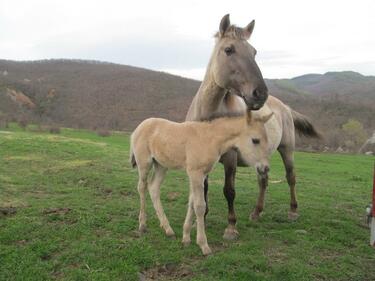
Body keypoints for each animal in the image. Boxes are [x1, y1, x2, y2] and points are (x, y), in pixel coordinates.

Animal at [185, 14, 320, 240]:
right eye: (228, 49)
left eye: (254, 52)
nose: (260, 93)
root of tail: (285, 107)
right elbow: (203, 189)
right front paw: (199, 221)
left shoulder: (230, 159)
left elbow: (229, 191)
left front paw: (231, 227)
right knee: (263, 181)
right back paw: (257, 212)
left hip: (287, 150)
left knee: (290, 177)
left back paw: (293, 211)